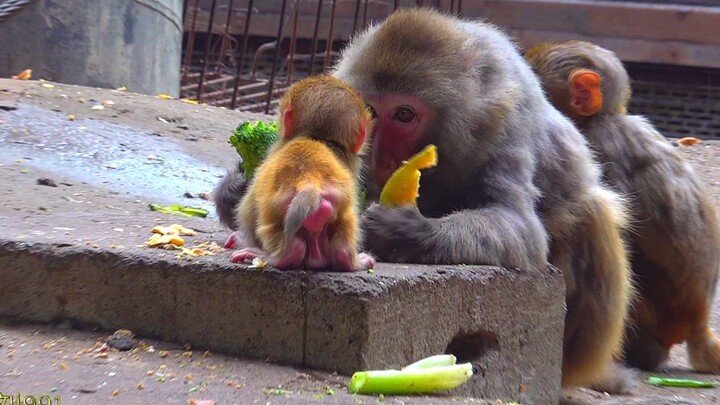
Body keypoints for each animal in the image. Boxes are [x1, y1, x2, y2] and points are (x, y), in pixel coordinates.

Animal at [226, 75, 376, 272]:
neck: (318, 138)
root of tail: (309, 183)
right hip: (339, 205)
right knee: (344, 239)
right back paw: (351, 261)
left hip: (279, 210)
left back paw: (275, 257)